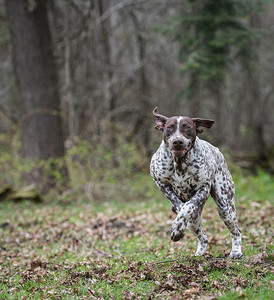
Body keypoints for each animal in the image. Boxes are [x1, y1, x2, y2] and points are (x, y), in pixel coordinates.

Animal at [151, 106, 243, 258]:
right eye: (169, 128)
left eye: (187, 127)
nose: (177, 141)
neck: (179, 163)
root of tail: (217, 151)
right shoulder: (161, 183)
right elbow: (179, 205)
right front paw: (178, 226)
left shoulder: (203, 188)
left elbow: (188, 206)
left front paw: (177, 228)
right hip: (195, 223)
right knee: (203, 237)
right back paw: (199, 252)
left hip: (226, 208)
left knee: (236, 232)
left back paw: (236, 252)